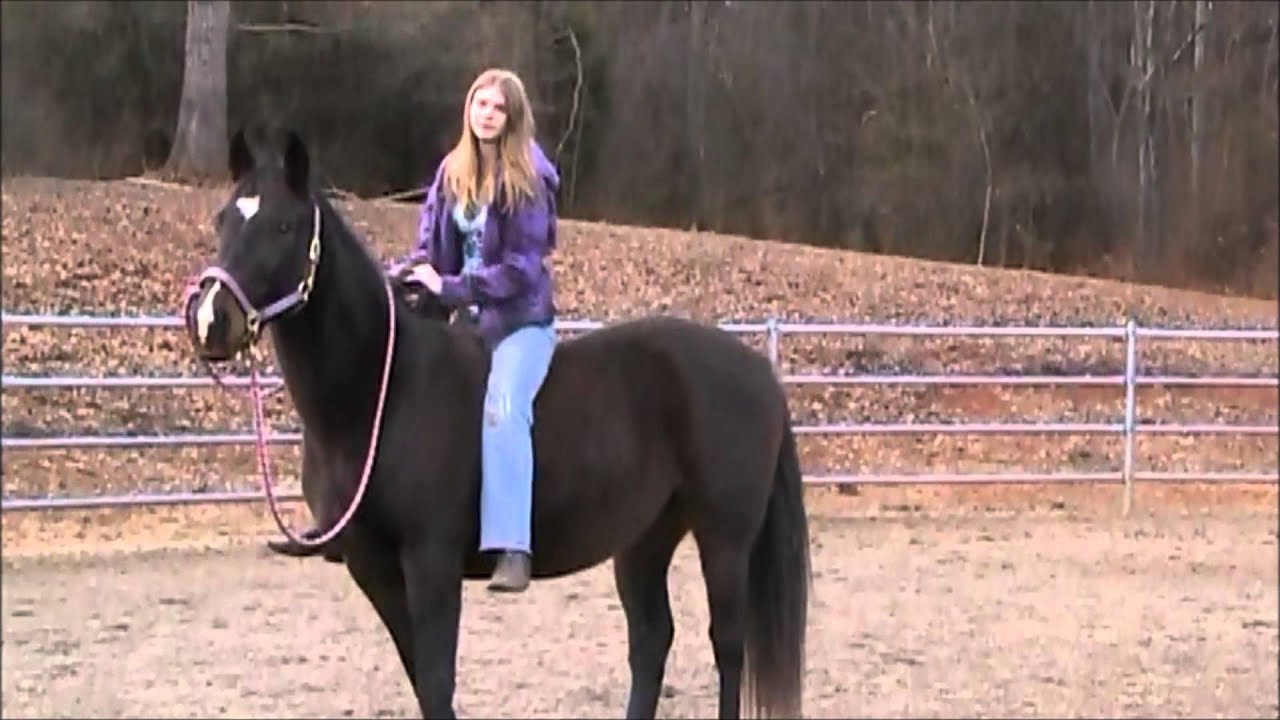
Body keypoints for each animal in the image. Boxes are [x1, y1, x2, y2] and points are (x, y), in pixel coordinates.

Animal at [181, 124, 812, 719]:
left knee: (727, 646)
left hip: (725, 538)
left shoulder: (431, 562)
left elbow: (438, 683)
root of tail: (757, 370)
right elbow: (422, 682)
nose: (213, 319)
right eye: (222, 218)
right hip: (644, 539)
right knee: (652, 641)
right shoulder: (374, 569)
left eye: (285, 226)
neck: (379, 392)